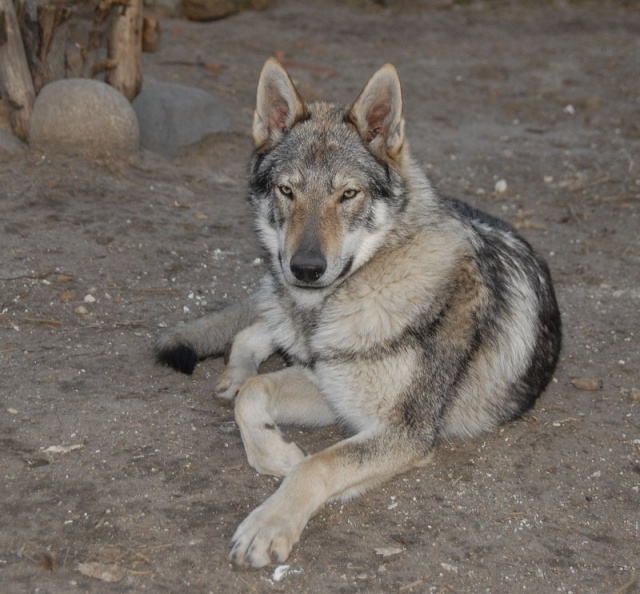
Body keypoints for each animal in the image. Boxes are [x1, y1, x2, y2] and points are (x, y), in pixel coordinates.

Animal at [155, 57, 560, 568]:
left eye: (348, 194)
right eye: (287, 190)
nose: (305, 269)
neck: (343, 300)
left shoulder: (400, 432)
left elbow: (318, 463)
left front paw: (270, 521)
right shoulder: (331, 387)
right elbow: (256, 398)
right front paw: (279, 453)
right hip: (281, 316)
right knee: (252, 335)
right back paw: (233, 376)